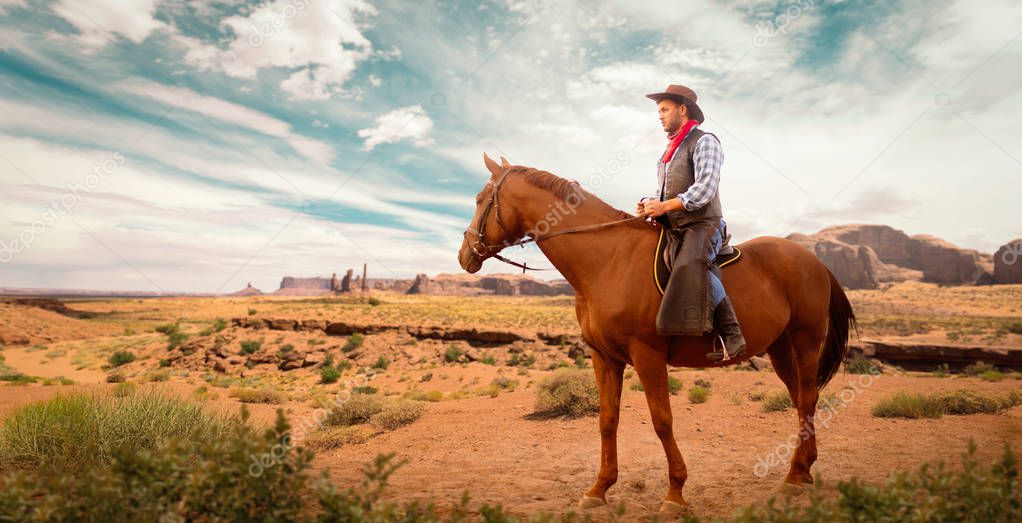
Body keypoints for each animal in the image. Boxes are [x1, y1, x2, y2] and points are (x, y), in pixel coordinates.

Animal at [455, 154, 854, 514]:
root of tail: (817, 263)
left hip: (805, 340)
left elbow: (662, 421)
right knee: (803, 399)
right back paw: (804, 471)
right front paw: (599, 489)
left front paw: (675, 493)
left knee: (806, 399)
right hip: (780, 348)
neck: (608, 260)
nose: (464, 254)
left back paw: (794, 476)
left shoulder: (647, 355)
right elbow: (607, 421)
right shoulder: (605, 357)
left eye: (480, 199)